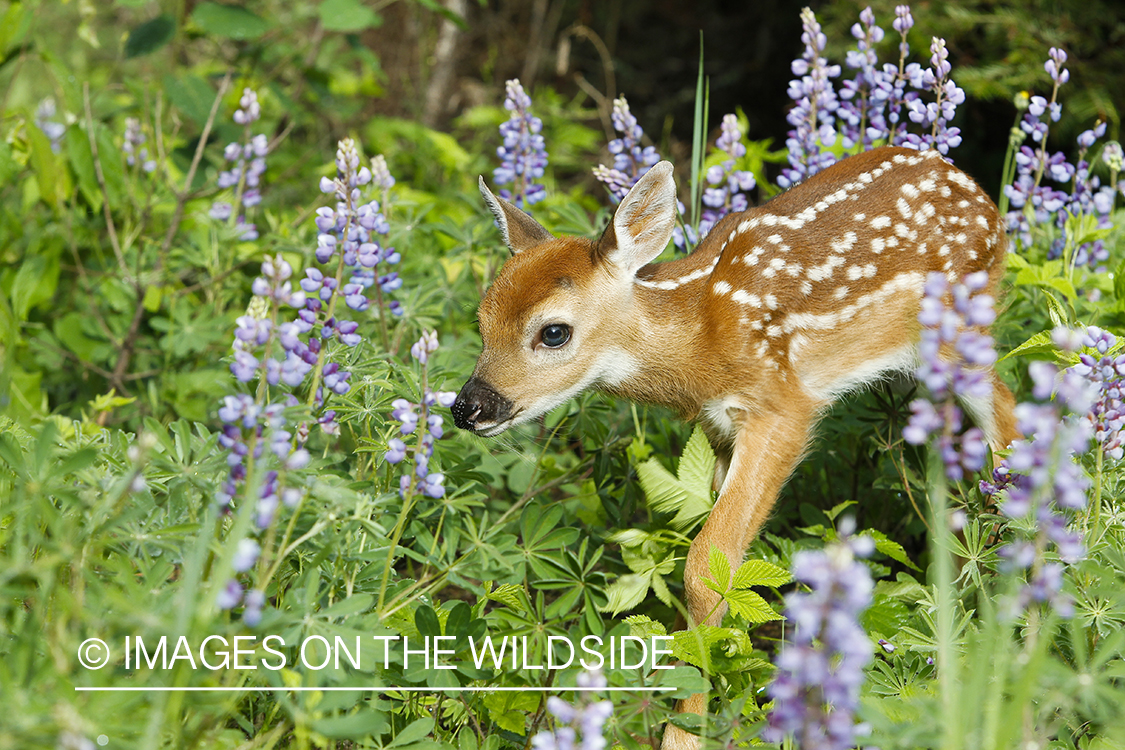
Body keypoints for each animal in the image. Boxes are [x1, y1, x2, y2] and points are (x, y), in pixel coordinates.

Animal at [451, 146, 1018, 749]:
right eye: (482, 319)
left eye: (553, 332)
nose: (468, 407)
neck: (700, 339)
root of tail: (979, 194)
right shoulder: (720, 427)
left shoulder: (782, 405)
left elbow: (705, 566)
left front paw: (684, 731)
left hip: (960, 332)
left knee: (1010, 420)